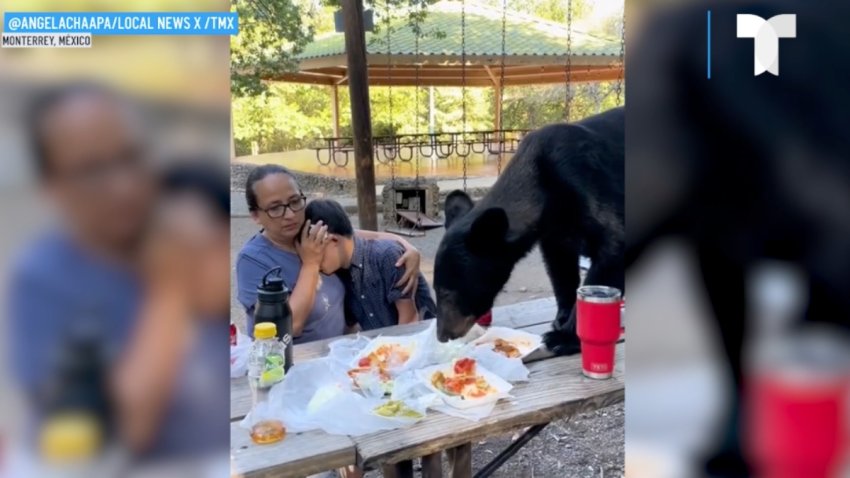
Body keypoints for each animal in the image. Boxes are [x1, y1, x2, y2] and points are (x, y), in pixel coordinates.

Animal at [434, 107, 620, 354]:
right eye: (436, 289)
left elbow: (612, 244)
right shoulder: (556, 231)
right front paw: (561, 317)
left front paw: (563, 336)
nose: (442, 336)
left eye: (447, 292)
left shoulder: (586, 182)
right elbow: (560, 266)